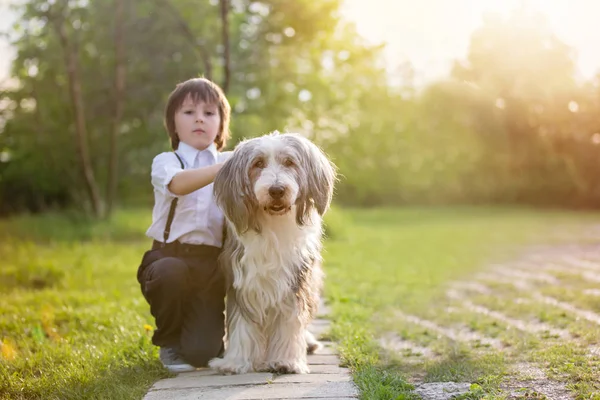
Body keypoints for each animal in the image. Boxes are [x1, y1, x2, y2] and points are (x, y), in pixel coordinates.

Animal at [209, 132, 336, 376]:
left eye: (289, 162)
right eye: (258, 164)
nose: (277, 190)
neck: (274, 224)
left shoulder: (295, 278)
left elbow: (290, 320)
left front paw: (286, 361)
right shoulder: (242, 277)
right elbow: (241, 322)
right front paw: (236, 362)